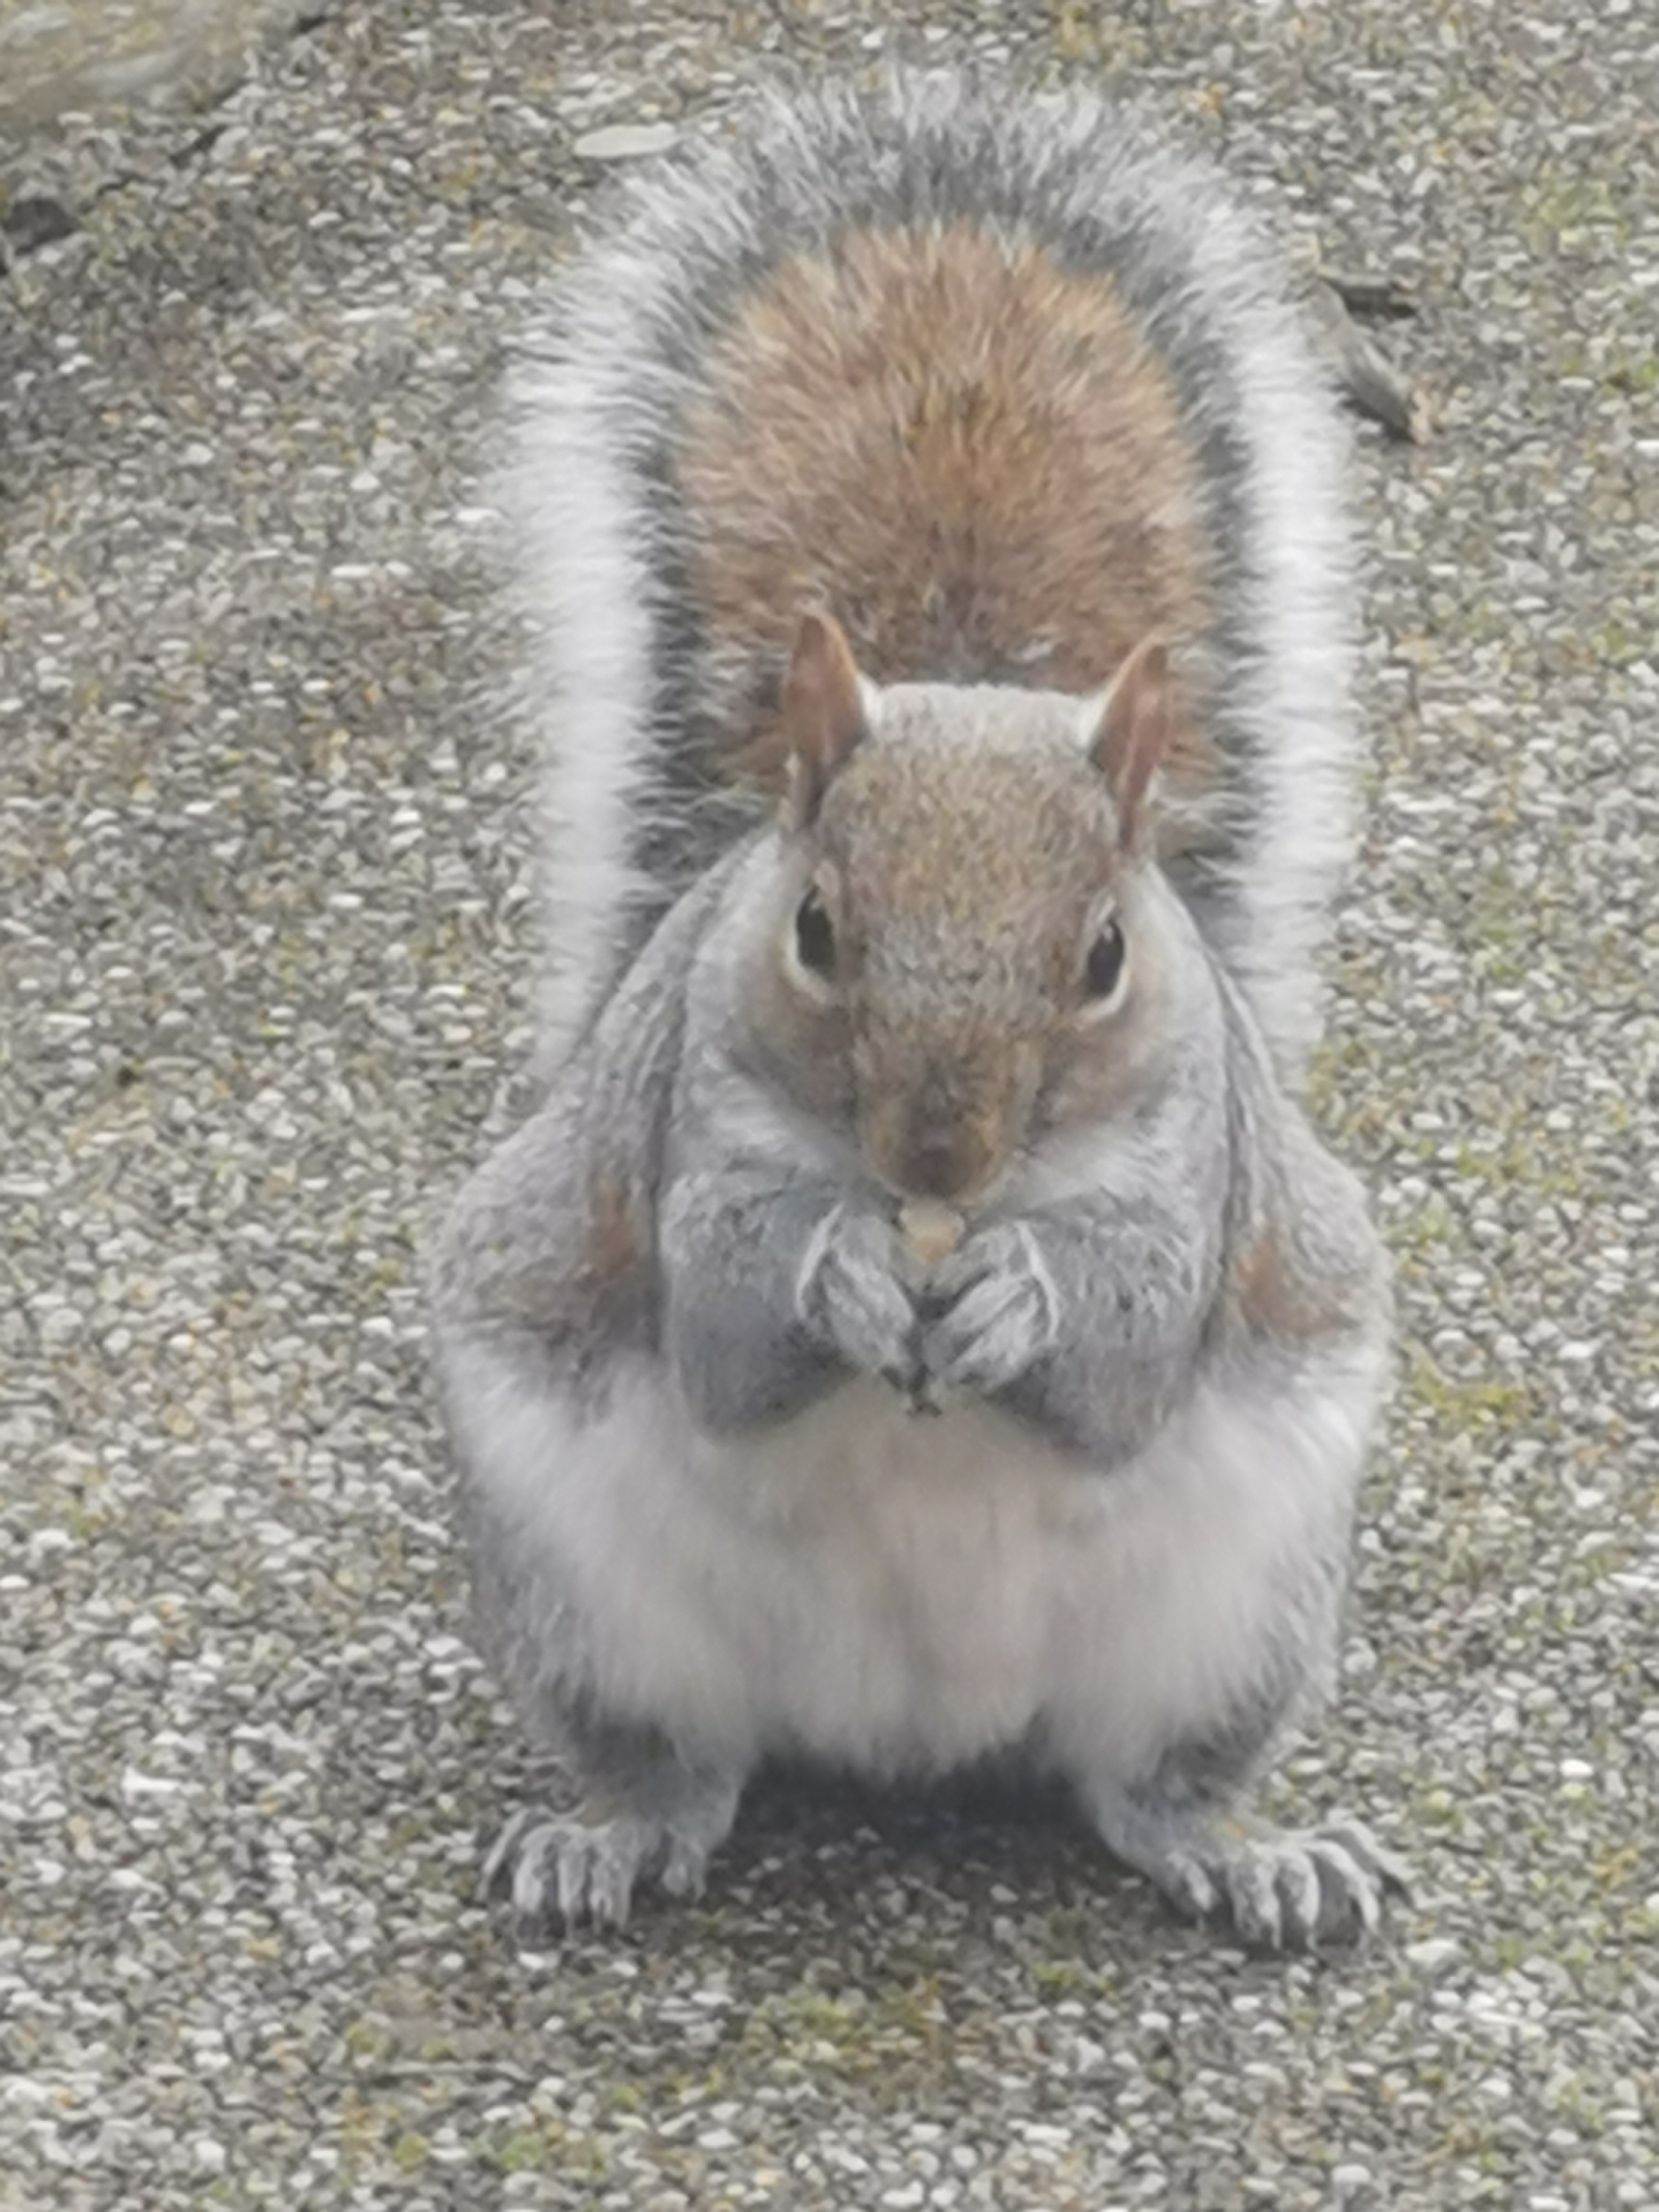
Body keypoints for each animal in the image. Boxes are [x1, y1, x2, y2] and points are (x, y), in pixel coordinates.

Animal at [428, 71, 1407, 1952]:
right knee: (675, 1766)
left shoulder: (1195, 1174)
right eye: (814, 927)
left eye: (1103, 953)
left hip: (1236, 1619)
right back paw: (611, 1834)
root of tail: (908, 1737)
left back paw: (1249, 1852)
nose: (937, 1152)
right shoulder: (681, 1132)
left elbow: (1126, 1350)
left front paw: (1026, 1296)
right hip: (581, 1594)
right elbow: (726, 1328)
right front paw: (833, 1275)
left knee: (1144, 1790)